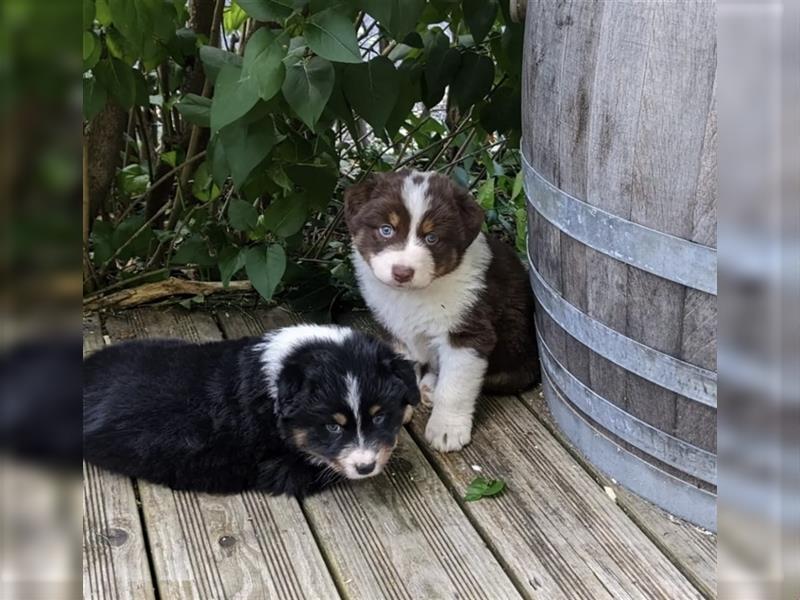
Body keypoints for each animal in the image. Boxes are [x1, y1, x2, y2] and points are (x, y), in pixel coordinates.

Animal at [344, 169, 536, 450]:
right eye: (386, 230)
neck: (413, 295)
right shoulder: (393, 329)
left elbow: (454, 388)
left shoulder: (467, 333)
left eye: (431, 238)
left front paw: (447, 431)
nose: (402, 272)